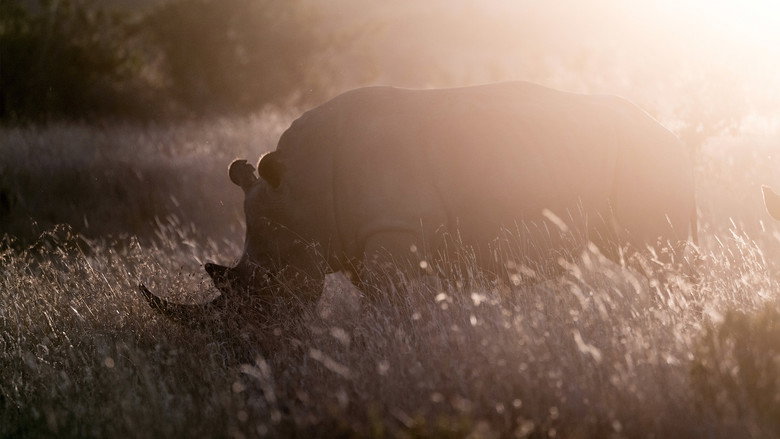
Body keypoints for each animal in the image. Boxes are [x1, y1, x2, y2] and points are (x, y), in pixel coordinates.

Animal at [140, 81, 697, 320]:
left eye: (269, 285)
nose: (248, 345)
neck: (302, 190)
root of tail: (670, 131)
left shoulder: (394, 227)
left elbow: (388, 302)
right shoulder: (364, 236)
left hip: (648, 158)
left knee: (655, 257)